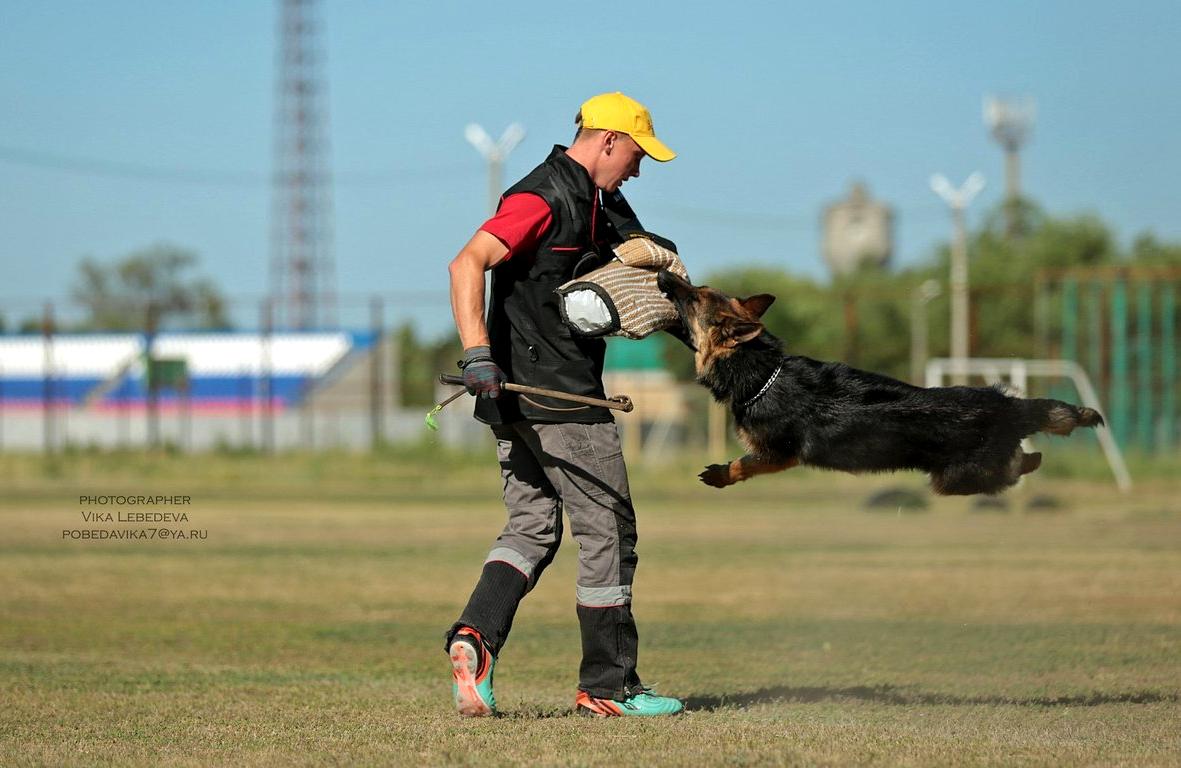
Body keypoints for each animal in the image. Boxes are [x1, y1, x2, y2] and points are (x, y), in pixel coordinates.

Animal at [656, 270, 1105, 496]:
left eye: (693, 297)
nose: (662, 273)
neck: (764, 372)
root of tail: (1008, 406)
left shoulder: (779, 454)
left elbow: (744, 464)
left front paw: (721, 474)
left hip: (955, 479)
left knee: (1015, 468)